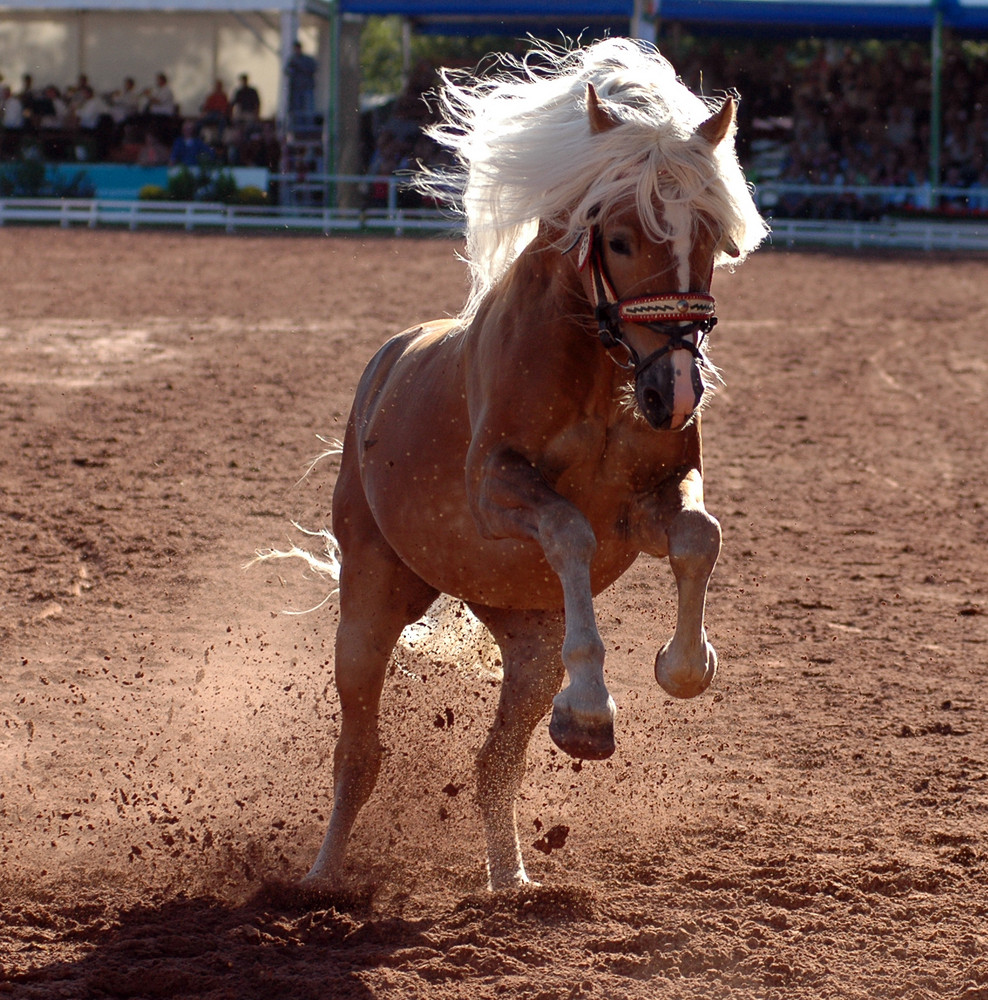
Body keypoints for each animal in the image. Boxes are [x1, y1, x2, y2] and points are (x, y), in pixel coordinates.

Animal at [294, 37, 764, 892]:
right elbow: (569, 532)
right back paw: (320, 878)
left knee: (494, 763)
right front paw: (589, 715)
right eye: (619, 238)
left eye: (710, 239)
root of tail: (382, 369)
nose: (675, 392)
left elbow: (699, 537)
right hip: (371, 604)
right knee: (359, 753)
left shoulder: (650, 504)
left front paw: (684, 667)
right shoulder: (500, 493)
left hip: (524, 633)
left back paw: (510, 879)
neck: (596, 375)